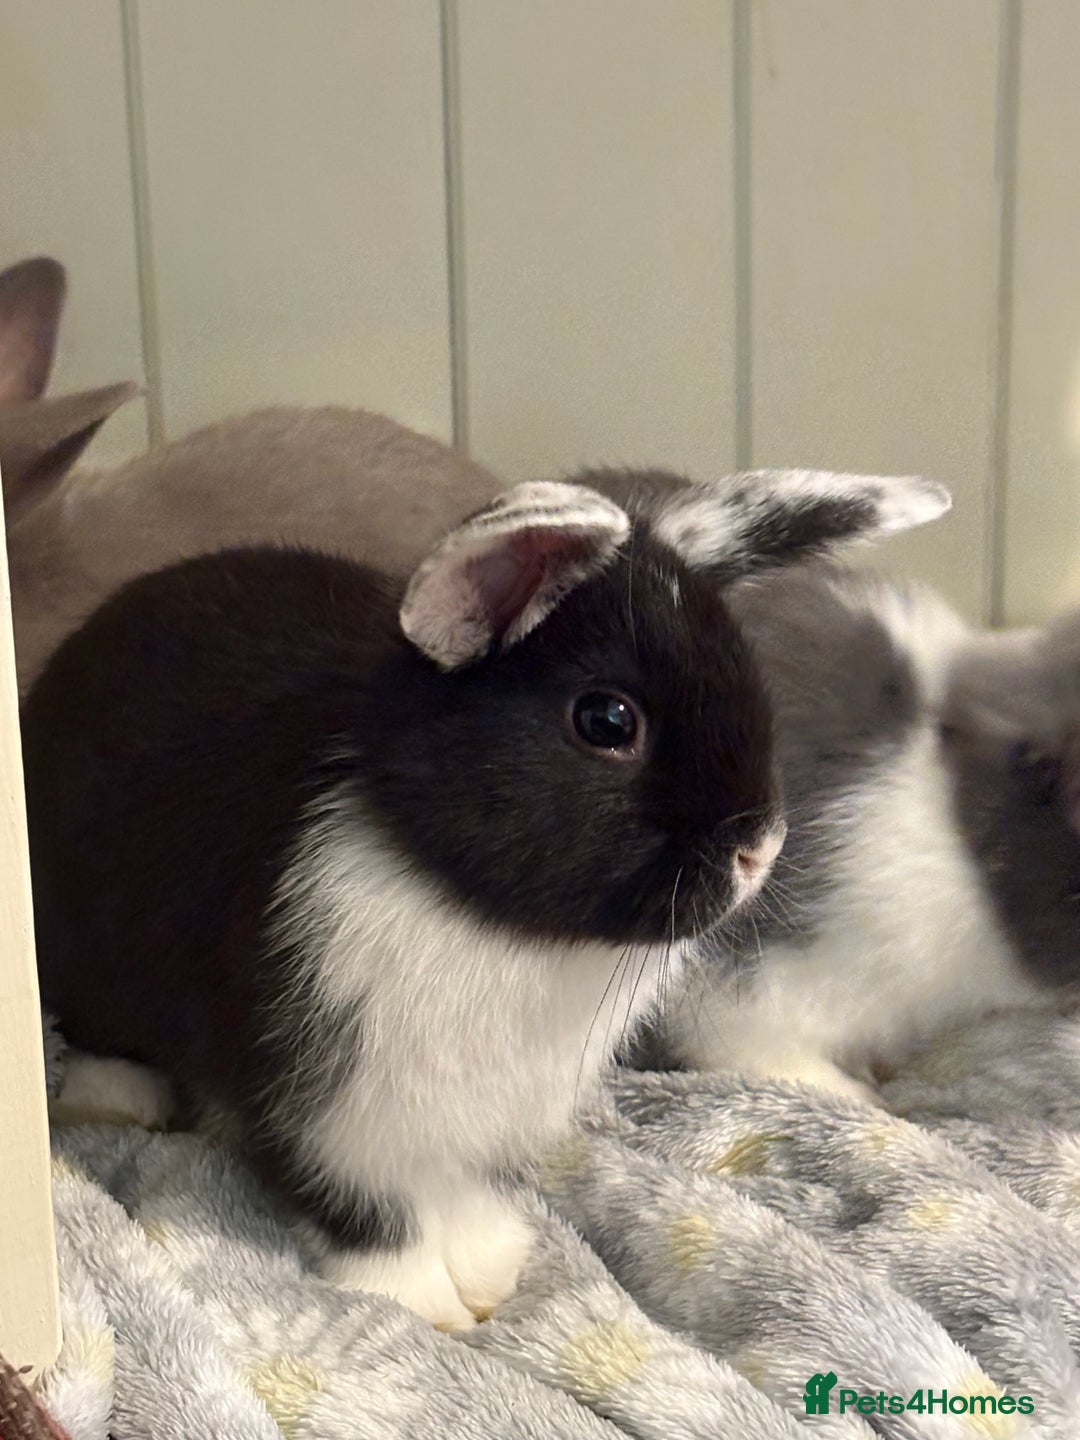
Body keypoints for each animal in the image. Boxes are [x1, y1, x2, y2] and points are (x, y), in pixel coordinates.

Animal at [21, 467, 947, 1328]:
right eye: (607, 721)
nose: (760, 850)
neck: (476, 912)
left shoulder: (467, 1125)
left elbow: (457, 1196)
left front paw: (491, 1270)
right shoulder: (319, 1114)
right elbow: (368, 1213)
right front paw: (423, 1305)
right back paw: (117, 1100)